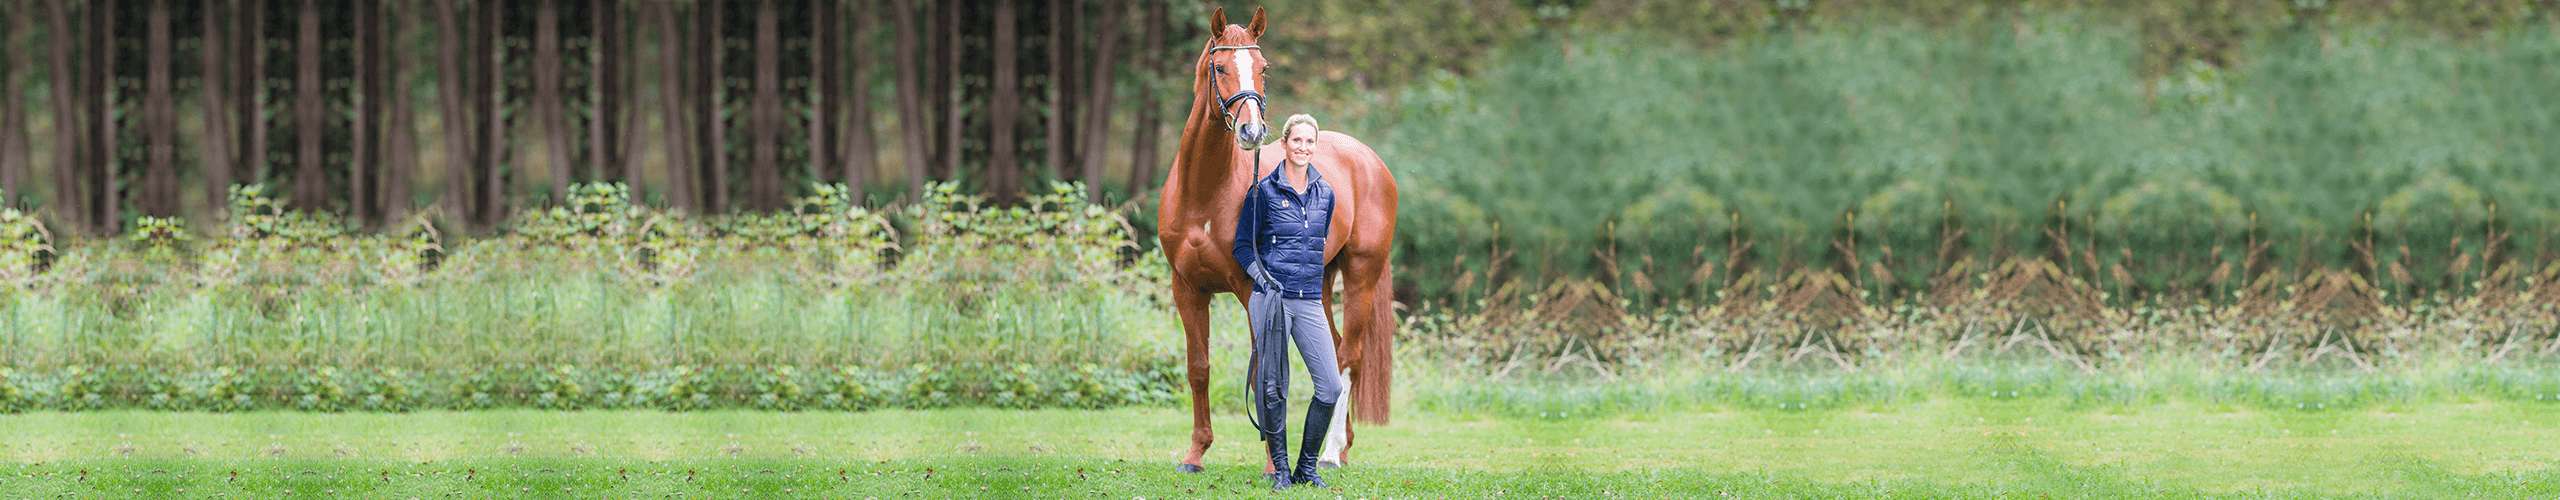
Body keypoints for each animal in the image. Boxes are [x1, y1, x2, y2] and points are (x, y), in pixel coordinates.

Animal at [1162, 8, 1402, 476]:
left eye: (1263, 67)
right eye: (1221, 67)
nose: (1251, 131)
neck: (1203, 196)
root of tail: (1369, 159)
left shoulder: (1251, 289)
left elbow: (1262, 369)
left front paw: (1274, 465)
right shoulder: (1187, 289)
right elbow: (1199, 368)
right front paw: (1195, 454)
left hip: (1361, 273)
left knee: (1350, 357)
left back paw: (1330, 452)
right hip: (1318, 283)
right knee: (1334, 351)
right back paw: (1343, 446)